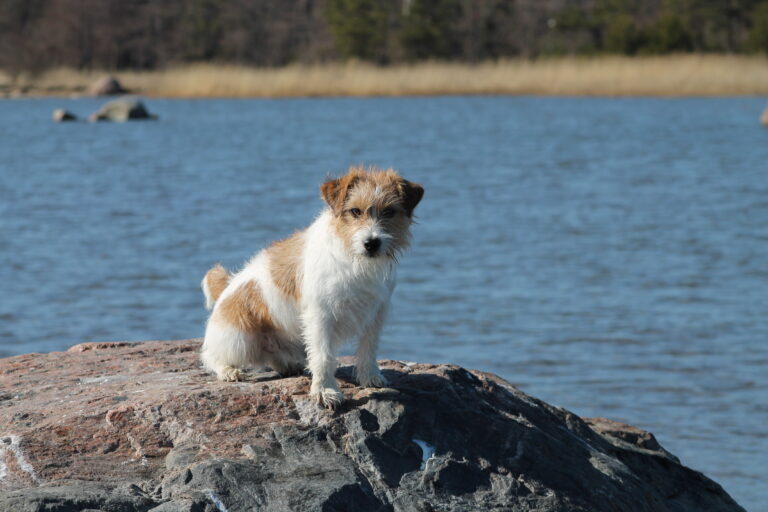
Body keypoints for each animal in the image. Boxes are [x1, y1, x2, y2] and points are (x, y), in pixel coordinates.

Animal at [201, 167, 424, 408]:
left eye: (389, 212)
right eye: (355, 211)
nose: (371, 243)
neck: (354, 260)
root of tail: (227, 286)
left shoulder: (375, 313)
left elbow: (368, 348)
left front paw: (370, 377)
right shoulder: (321, 316)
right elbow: (323, 356)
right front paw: (325, 391)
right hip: (239, 338)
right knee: (210, 356)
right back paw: (228, 370)